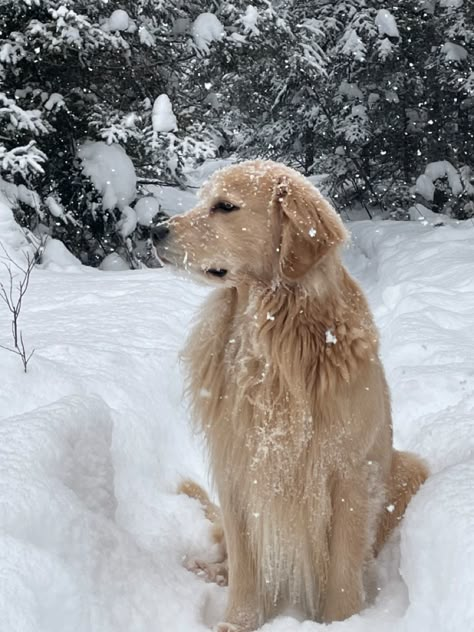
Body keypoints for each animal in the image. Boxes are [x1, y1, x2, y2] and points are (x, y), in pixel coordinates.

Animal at [156, 163, 430, 632]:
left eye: (224, 206)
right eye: (201, 199)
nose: (153, 231)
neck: (271, 339)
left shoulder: (348, 473)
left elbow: (342, 570)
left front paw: (342, 622)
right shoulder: (237, 469)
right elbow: (246, 565)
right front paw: (238, 622)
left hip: (409, 468)